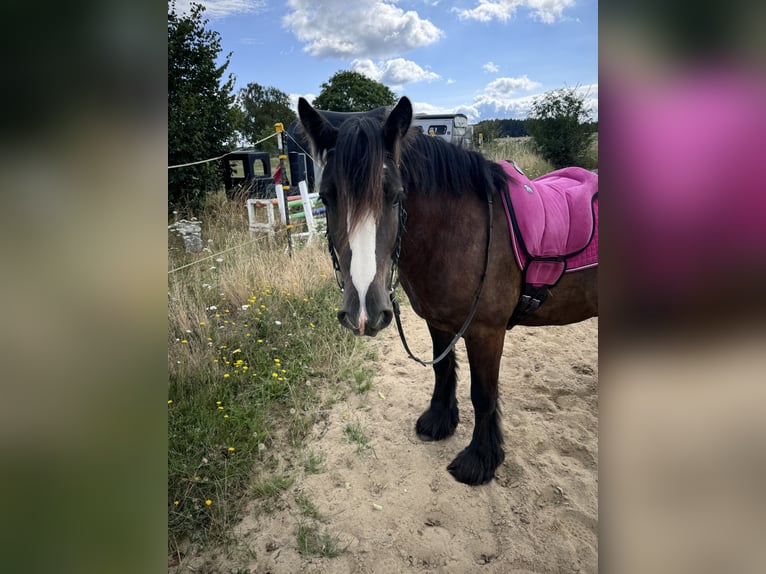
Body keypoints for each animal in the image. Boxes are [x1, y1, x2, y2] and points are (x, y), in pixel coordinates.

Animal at [298, 96, 598, 485]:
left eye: (395, 196)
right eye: (326, 197)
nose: (364, 311)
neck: (460, 232)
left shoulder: (486, 332)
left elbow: (483, 394)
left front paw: (479, 459)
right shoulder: (438, 322)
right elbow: (442, 370)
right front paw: (439, 421)